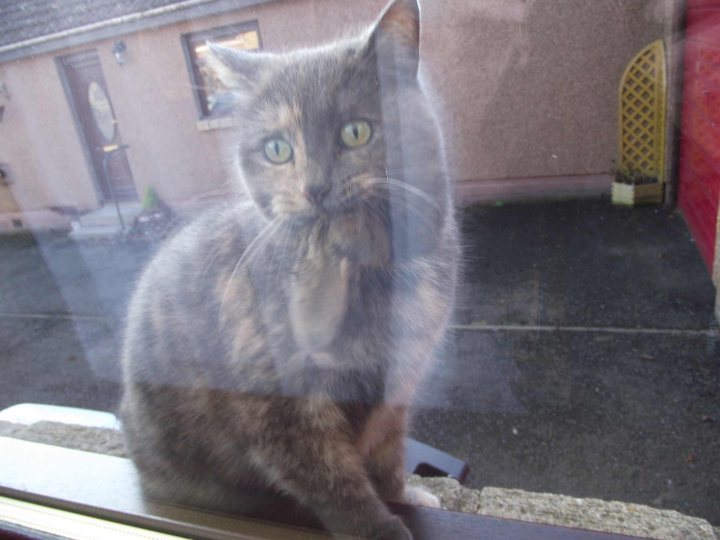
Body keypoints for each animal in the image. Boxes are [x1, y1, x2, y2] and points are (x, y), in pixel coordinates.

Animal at [117, 2, 456, 536]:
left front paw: (406, 497)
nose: (315, 187)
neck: (369, 274)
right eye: (277, 148)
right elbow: (331, 477)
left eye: (355, 131)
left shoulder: (397, 387)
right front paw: (380, 528)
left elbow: (386, 456)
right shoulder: (280, 404)